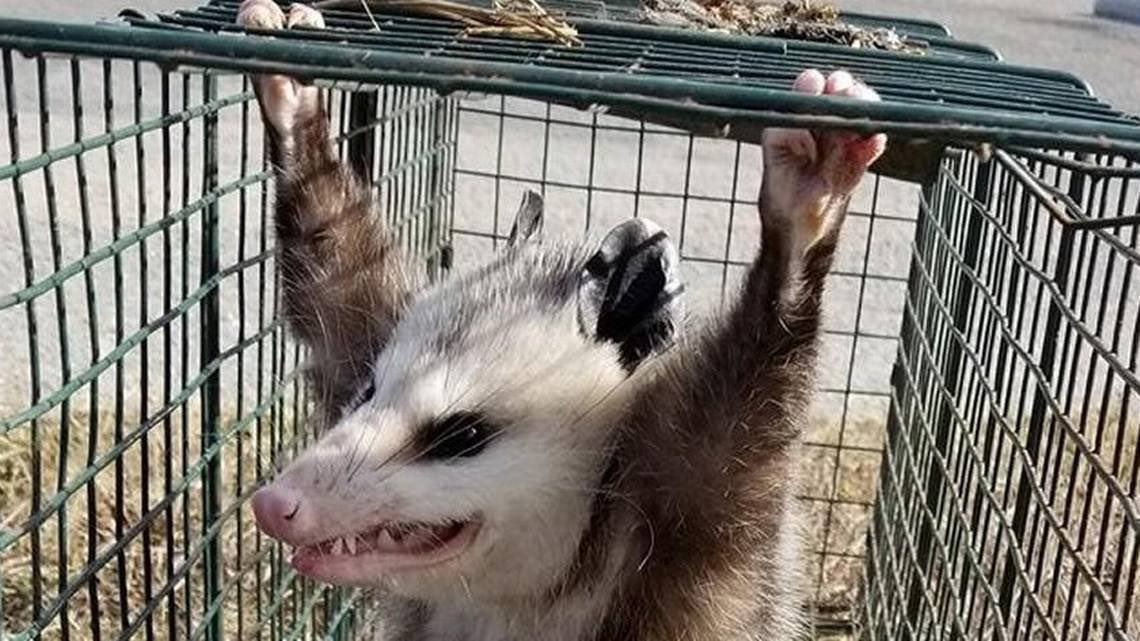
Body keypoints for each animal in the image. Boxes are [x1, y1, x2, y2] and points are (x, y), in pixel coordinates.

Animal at [237, 2, 888, 639]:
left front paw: (806, 206)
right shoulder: (370, 323)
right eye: (368, 389)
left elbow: (745, 423)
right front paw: (292, 99)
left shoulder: (695, 508)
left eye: (462, 435)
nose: (275, 504)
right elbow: (337, 292)